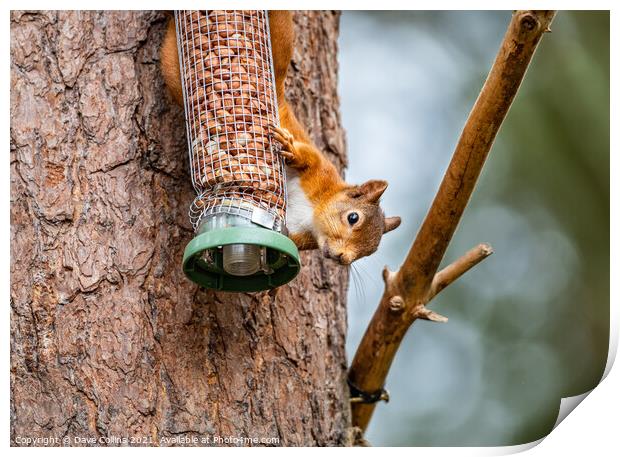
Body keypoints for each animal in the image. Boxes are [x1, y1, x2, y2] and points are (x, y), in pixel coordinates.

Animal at [161, 10, 402, 264]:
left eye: (369, 252)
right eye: (353, 218)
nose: (341, 258)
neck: (312, 213)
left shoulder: (295, 234)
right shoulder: (321, 170)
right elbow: (308, 158)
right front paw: (292, 150)